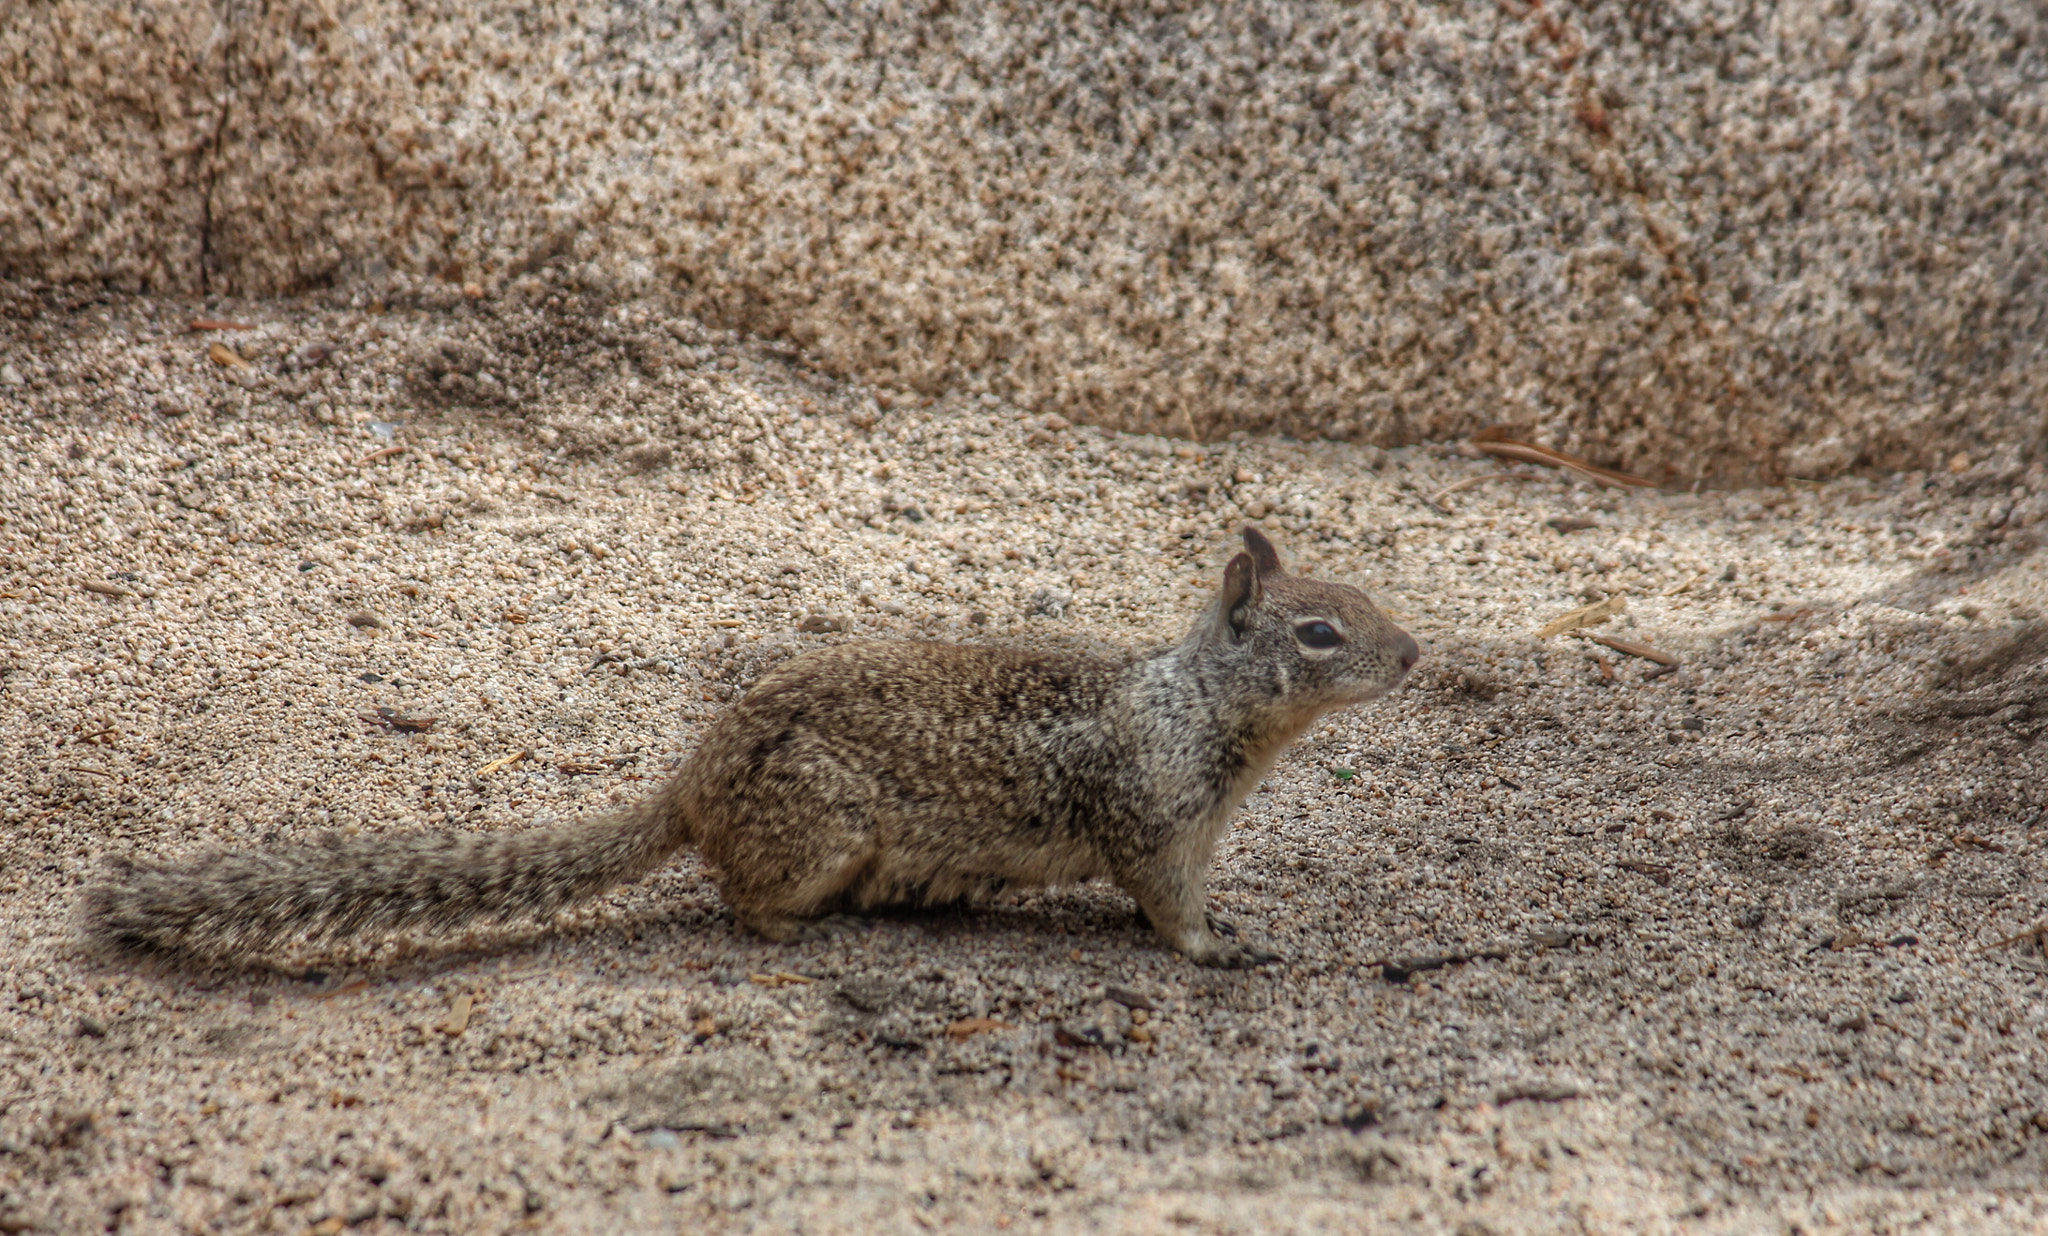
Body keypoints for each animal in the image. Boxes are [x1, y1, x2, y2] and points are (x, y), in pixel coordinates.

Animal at [83, 527, 1418, 968]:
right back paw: (811, 927)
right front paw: (1220, 949)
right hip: (826, 834)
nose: (1411, 657)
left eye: (1361, 597)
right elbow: (1168, 908)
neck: (1195, 706)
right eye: (1316, 632)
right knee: (740, 902)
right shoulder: (1155, 824)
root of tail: (688, 786)